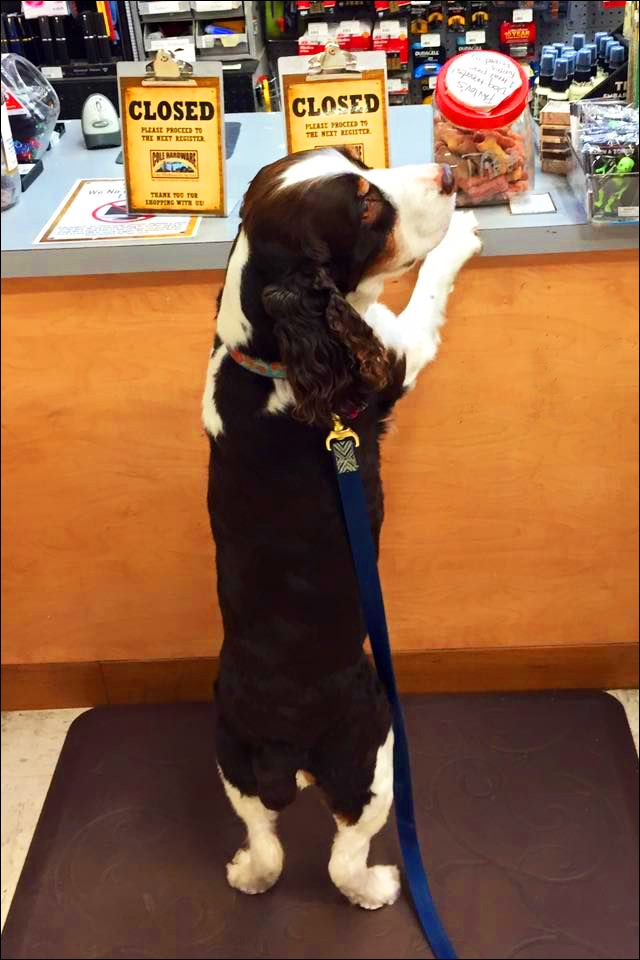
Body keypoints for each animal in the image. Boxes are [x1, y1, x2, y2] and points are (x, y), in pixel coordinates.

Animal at [202, 148, 482, 908]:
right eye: (364, 206)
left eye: (362, 161)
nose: (450, 175)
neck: (274, 350)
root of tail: (283, 742)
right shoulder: (394, 352)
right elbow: (425, 291)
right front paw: (460, 234)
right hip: (373, 749)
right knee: (341, 856)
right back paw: (378, 887)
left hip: (231, 758)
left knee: (266, 841)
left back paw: (245, 873)